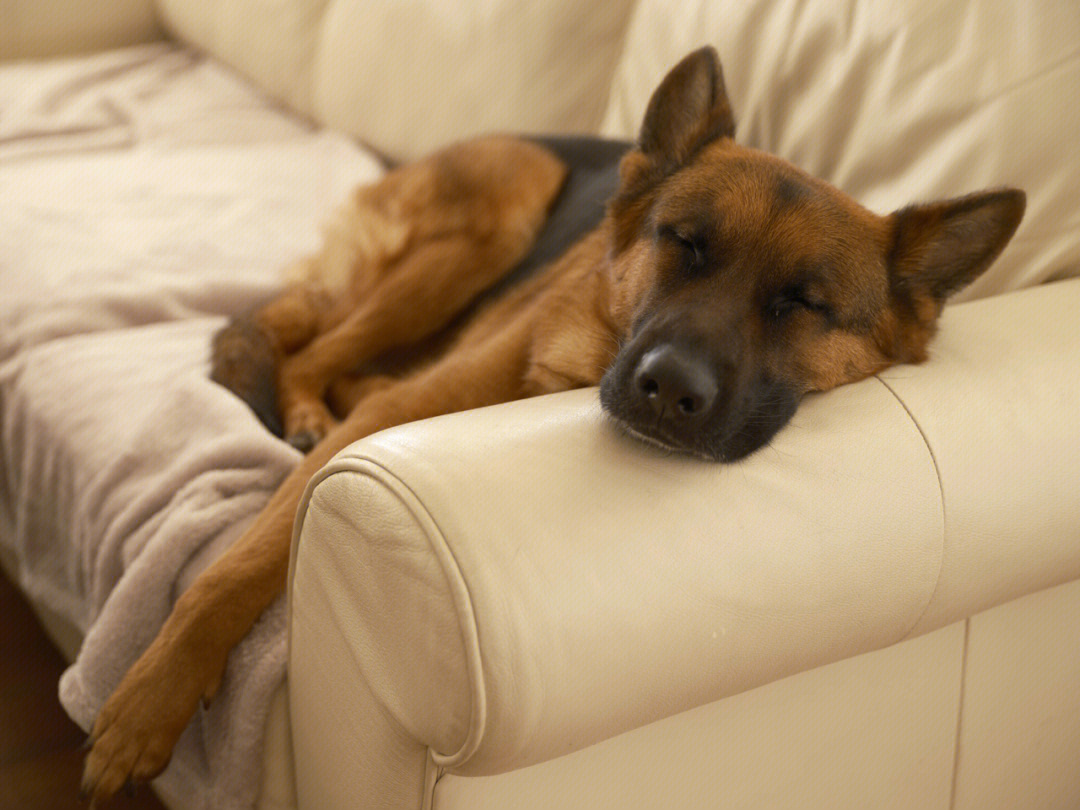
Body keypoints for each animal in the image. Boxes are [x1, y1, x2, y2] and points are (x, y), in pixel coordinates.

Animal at [79, 45, 1023, 807]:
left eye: (804, 303)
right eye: (685, 244)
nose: (668, 391)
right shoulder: (386, 427)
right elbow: (232, 571)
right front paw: (149, 702)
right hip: (499, 217)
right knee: (306, 351)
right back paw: (307, 405)